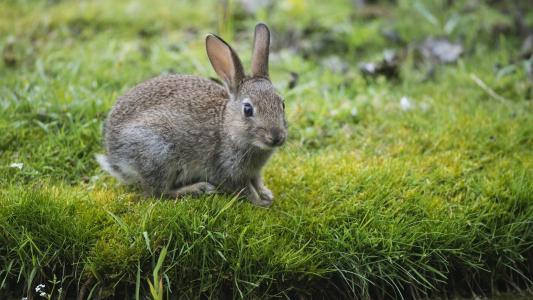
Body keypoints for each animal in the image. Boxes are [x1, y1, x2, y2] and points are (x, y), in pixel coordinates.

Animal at [95, 23, 286, 207]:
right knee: (159, 192)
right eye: (247, 109)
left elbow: (257, 182)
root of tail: (115, 157)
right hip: (158, 153)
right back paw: (198, 188)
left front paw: (266, 193)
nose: (277, 137)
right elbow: (244, 189)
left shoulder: (254, 172)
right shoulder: (226, 169)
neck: (227, 127)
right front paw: (260, 202)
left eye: (282, 104)